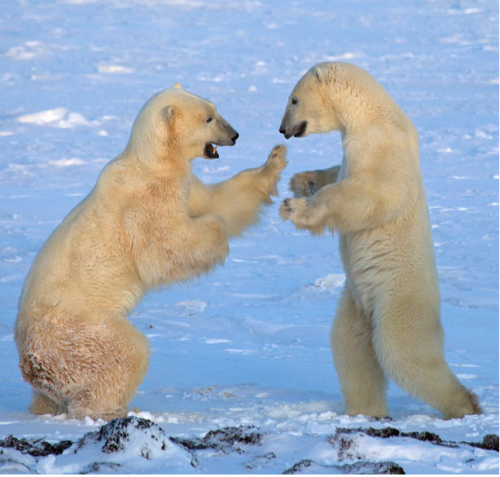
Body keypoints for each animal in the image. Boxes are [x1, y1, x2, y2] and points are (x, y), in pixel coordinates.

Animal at [15, 83, 288, 418]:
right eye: (209, 118)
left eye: (214, 109)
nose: (235, 135)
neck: (152, 162)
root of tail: (30, 363)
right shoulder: (145, 202)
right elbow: (165, 246)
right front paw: (216, 231)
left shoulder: (183, 183)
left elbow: (220, 200)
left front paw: (276, 158)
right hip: (78, 331)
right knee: (126, 353)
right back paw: (110, 410)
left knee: (47, 397)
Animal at [280, 61, 482, 418]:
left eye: (293, 100)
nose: (282, 129)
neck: (372, 115)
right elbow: (337, 174)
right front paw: (302, 180)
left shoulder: (382, 147)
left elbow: (369, 193)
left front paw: (295, 207)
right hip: (356, 302)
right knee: (350, 347)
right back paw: (365, 411)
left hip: (399, 299)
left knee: (403, 352)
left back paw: (465, 406)